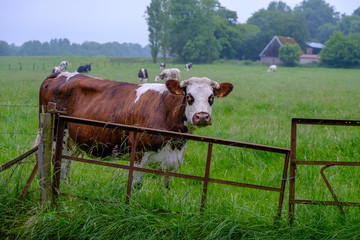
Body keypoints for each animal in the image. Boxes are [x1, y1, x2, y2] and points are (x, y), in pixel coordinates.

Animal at [35, 71, 233, 188]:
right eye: (189, 96)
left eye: (211, 97)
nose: (202, 117)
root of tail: (60, 73)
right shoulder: (138, 154)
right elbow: (136, 185)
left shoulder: (173, 162)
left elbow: (166, 187)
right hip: (55, 134)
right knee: (55, 162)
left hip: (71, 140)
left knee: (66, 162)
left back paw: (66, 186)